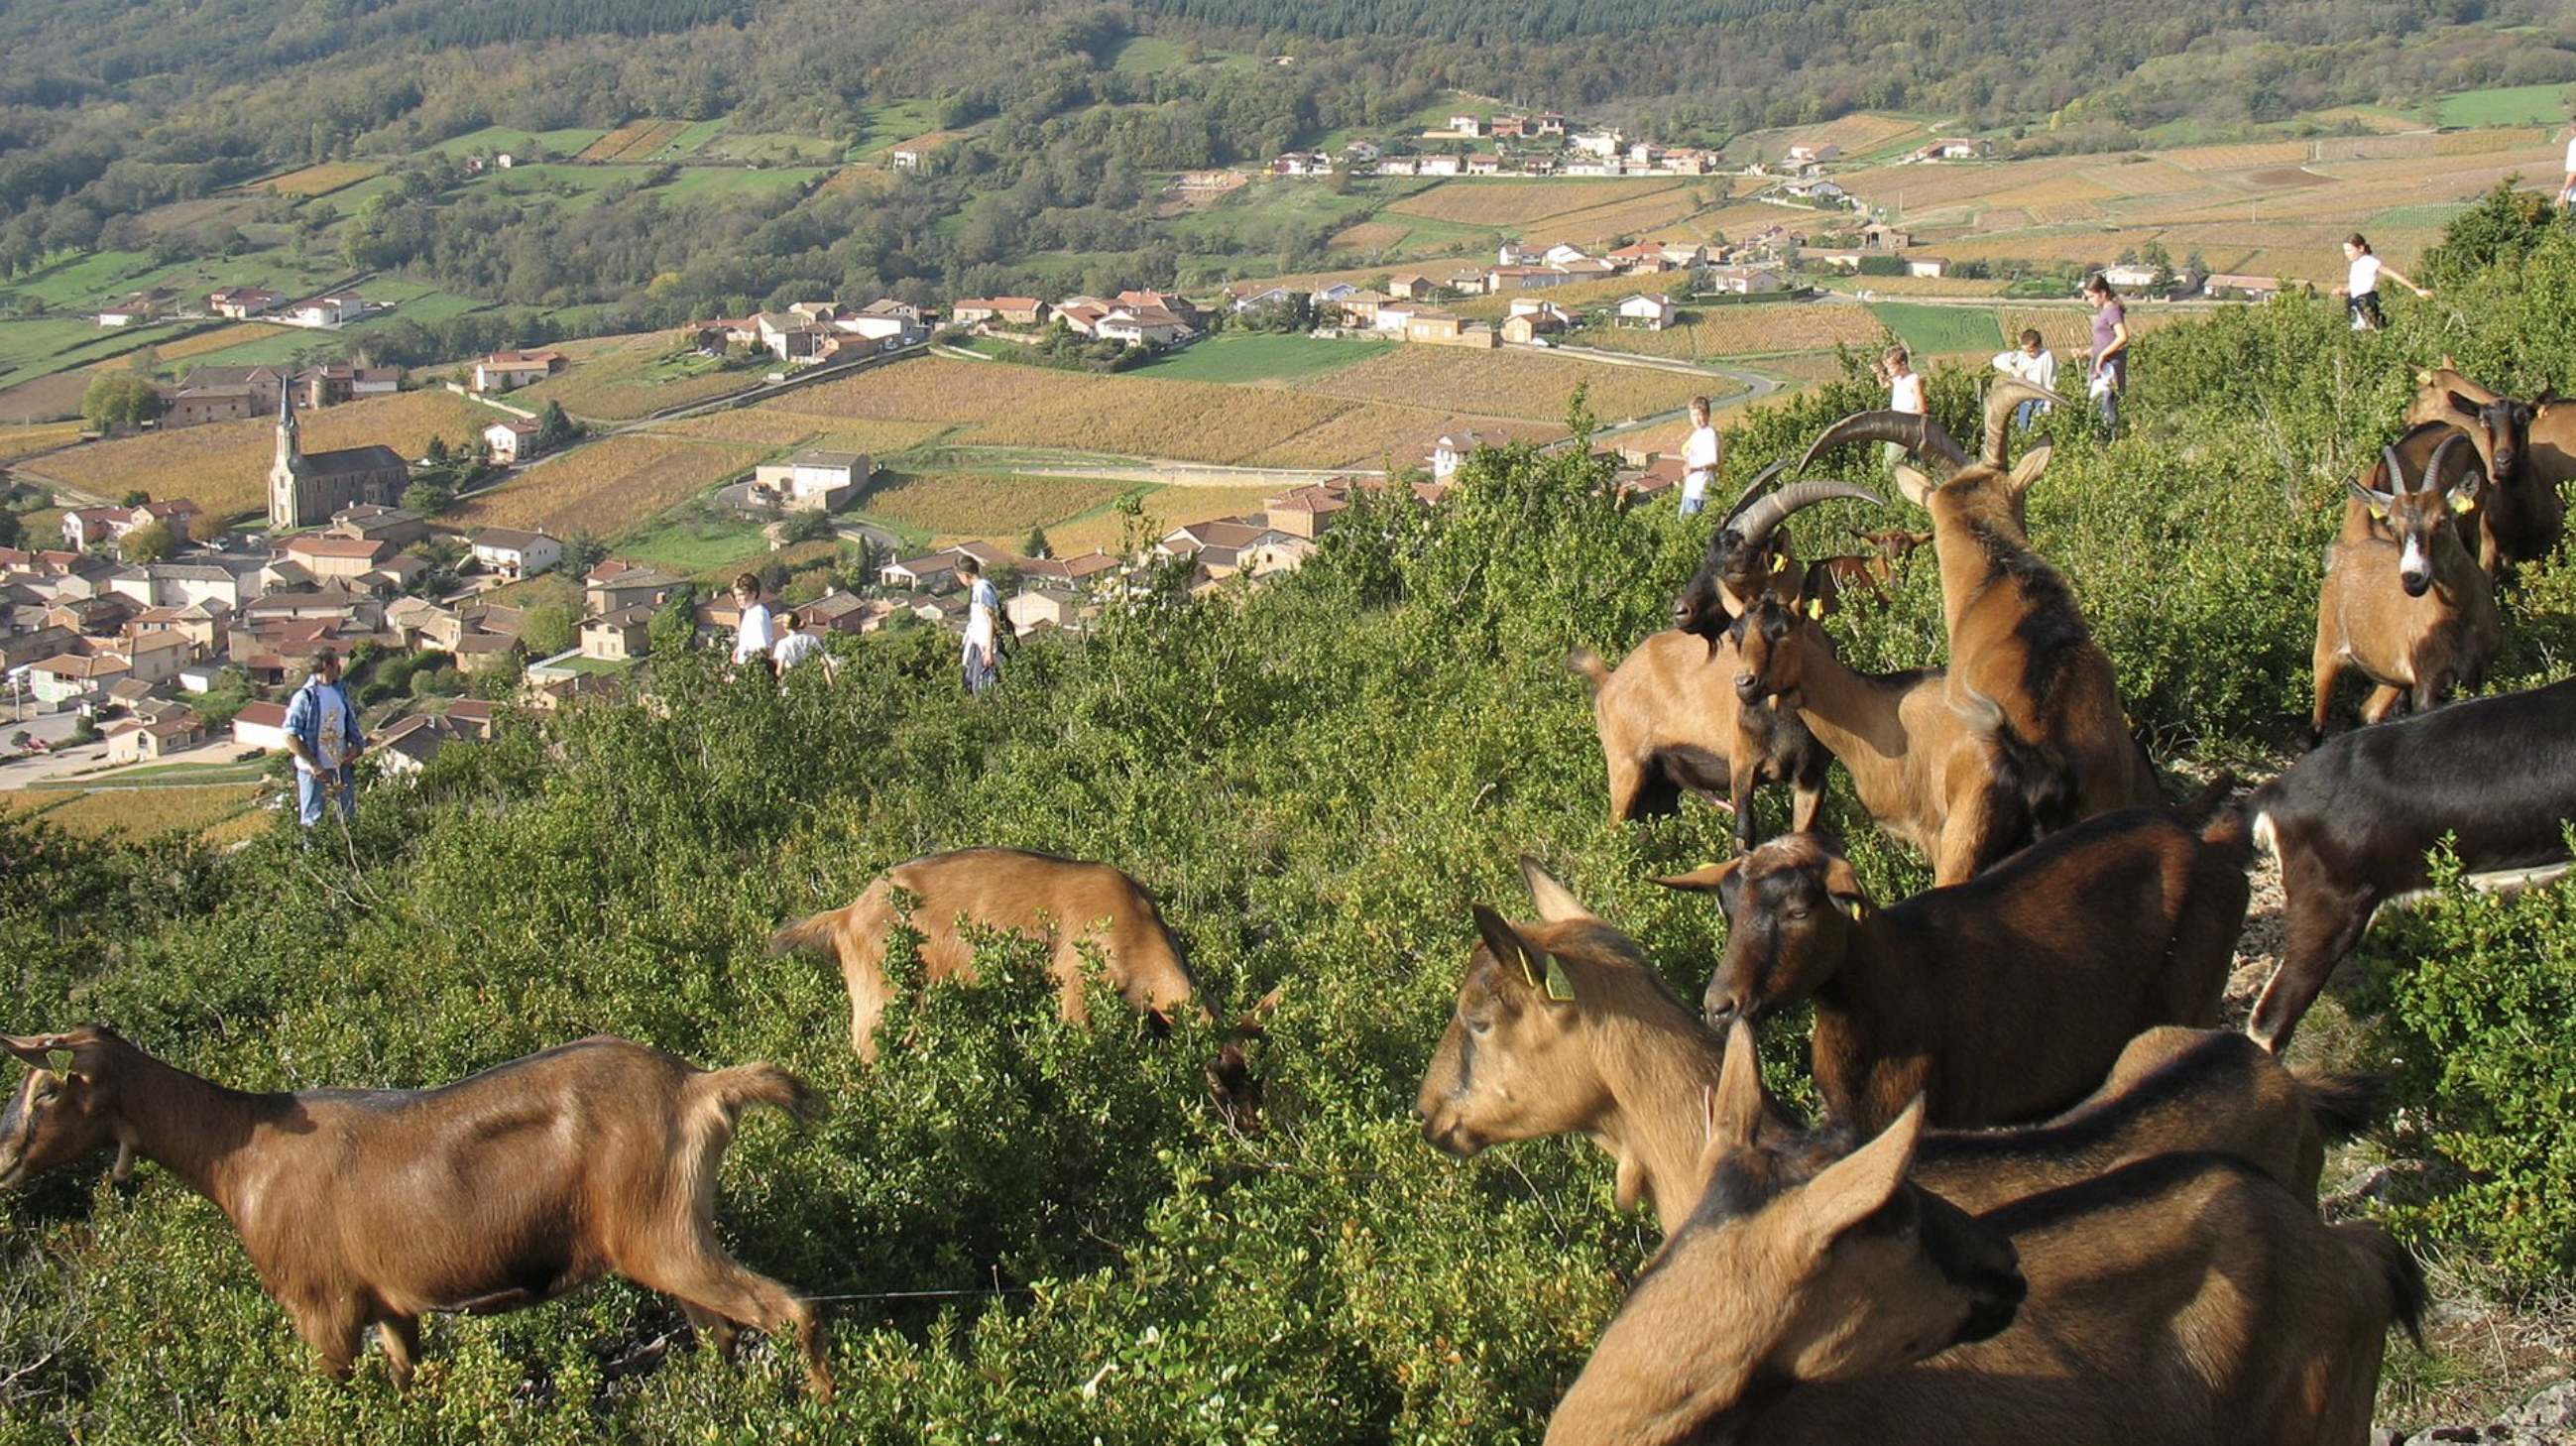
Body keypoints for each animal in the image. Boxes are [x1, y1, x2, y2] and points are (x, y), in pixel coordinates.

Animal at [0, 1028, 832, 1398]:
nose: (4, 1157)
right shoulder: (392, 1307)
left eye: (48, 1089)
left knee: (794, 1310)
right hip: (669, 1237)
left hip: (662, 1235)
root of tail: (700, 1088)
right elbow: (406, 1385)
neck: (240, 1156)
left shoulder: (324, 1308)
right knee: (720, 1332)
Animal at [1567, 629, 1831, 849]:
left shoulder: (1811, 777)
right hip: (1627, 766)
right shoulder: (1742, 765)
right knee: (1614, 829)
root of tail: (1608, 681)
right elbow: (1744, 835)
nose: (1746, 684)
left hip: (1659, 787)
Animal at [2313, 437, 2500, 738]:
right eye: (2392, 525)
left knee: (2367, 712)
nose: (2413, 578)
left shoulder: (2475, 675)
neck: (2459, 617)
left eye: (2442, 520)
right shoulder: (2427, 680)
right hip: (2326, 653)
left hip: (2390, 678)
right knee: (2317, 724)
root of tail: (2342, 556)